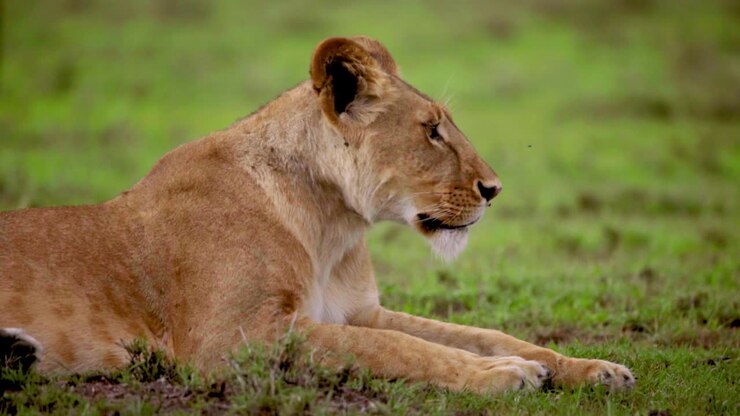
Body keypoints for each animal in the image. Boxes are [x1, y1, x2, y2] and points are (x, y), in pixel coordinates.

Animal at [0, 36, 634, 393]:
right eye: (431, 130)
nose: (494, 189)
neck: (331, 226)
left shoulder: (360, 311)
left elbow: (477, 333)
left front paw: (594, 369)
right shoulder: (228, 340)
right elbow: (394, 349)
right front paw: (504, 374)